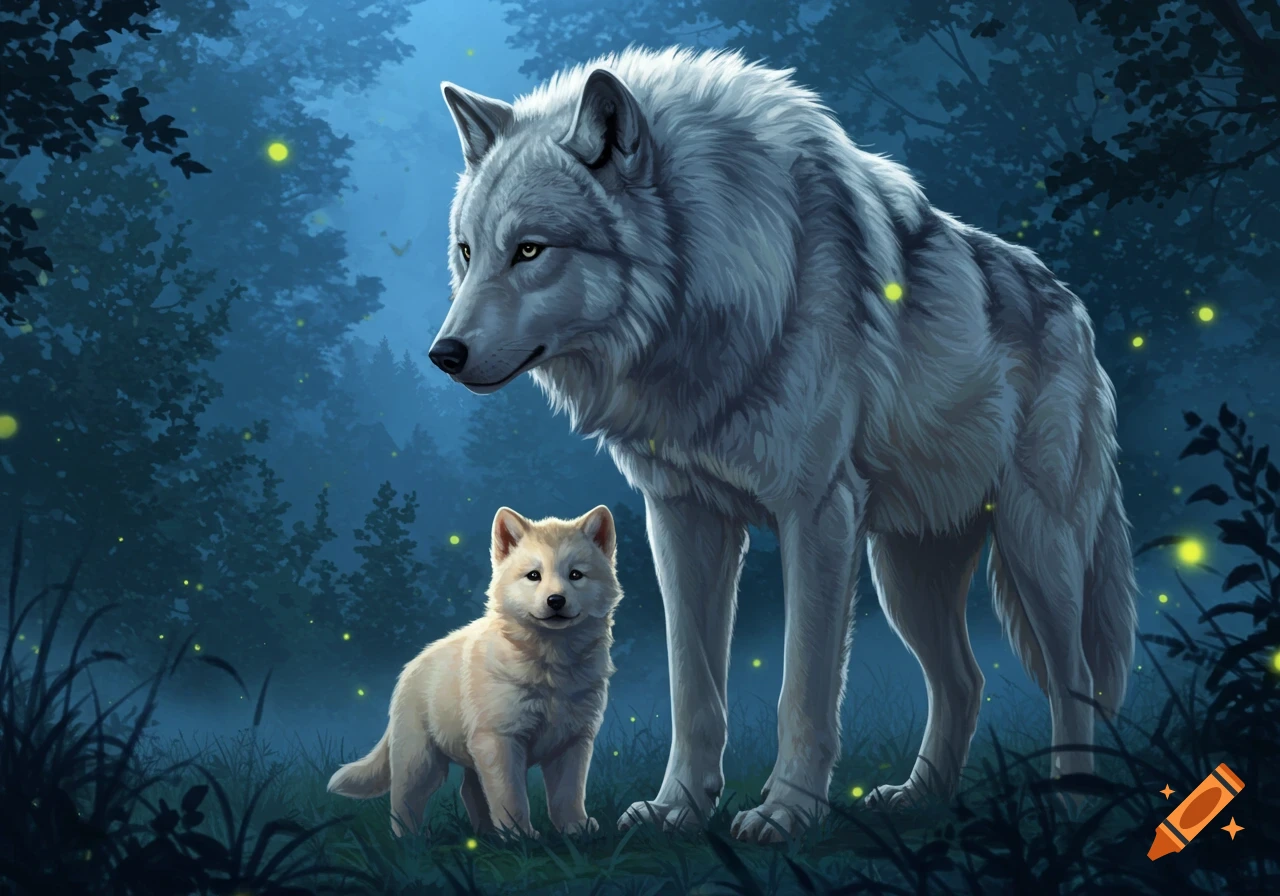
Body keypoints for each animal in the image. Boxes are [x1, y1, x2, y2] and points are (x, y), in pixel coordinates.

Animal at [327, 505, 622, 839]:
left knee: (469, 790)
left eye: (575, 575)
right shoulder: (500, 740)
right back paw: (410, 841)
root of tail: (410, 666)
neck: (551, 664)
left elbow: (567, 794)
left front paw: (575, 828)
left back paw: (486, 834)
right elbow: (511, 796)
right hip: (421, 762)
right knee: (403, 802)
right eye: (534, 575)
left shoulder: (573, 740)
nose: (556, 600)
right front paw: (521, 835)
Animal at [427, 46, 1139, 844]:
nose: (443, 354)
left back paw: (1072, 801)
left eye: (529, 250)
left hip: (1035, 547)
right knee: (964, 681)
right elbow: (694, 690)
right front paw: (680, 807)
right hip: (906, 574)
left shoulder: (818, 514)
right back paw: (917, 797)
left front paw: (787, 812)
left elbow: (803, 689)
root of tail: (1072, 304)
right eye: (467, 252)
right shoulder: (682, 518)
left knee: (1074, 677)